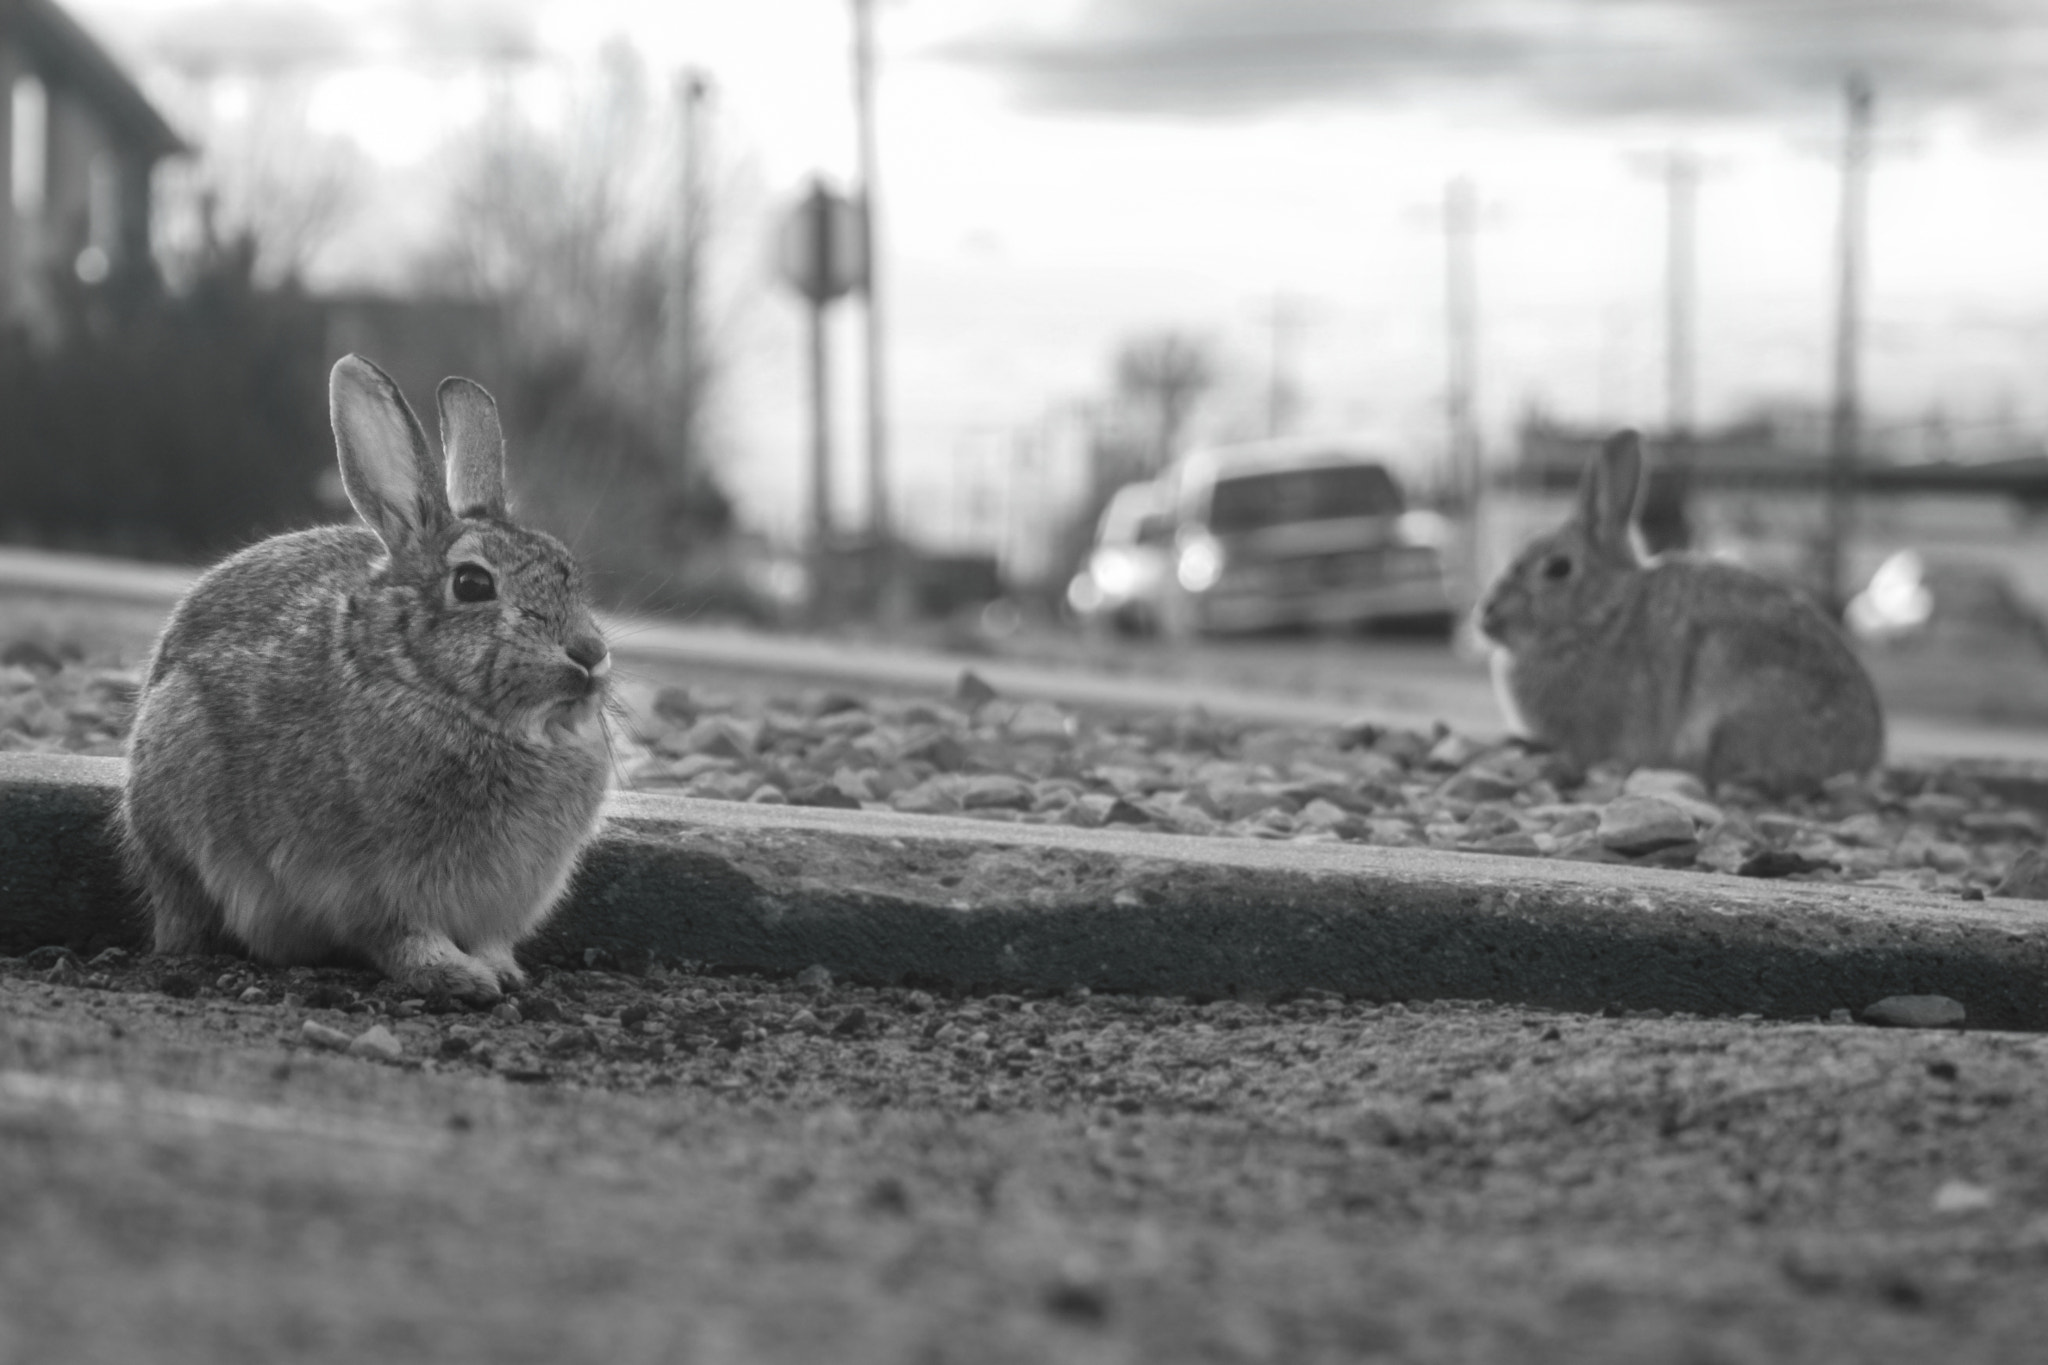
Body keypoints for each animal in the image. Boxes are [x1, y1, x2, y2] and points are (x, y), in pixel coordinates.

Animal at [120, 358, 610, 1002]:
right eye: (472, 584)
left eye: (570, 570)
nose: (591, 655)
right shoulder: (371, 887)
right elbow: (401, 935)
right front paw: (457, 977)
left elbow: (489, 938)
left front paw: (500, 970)